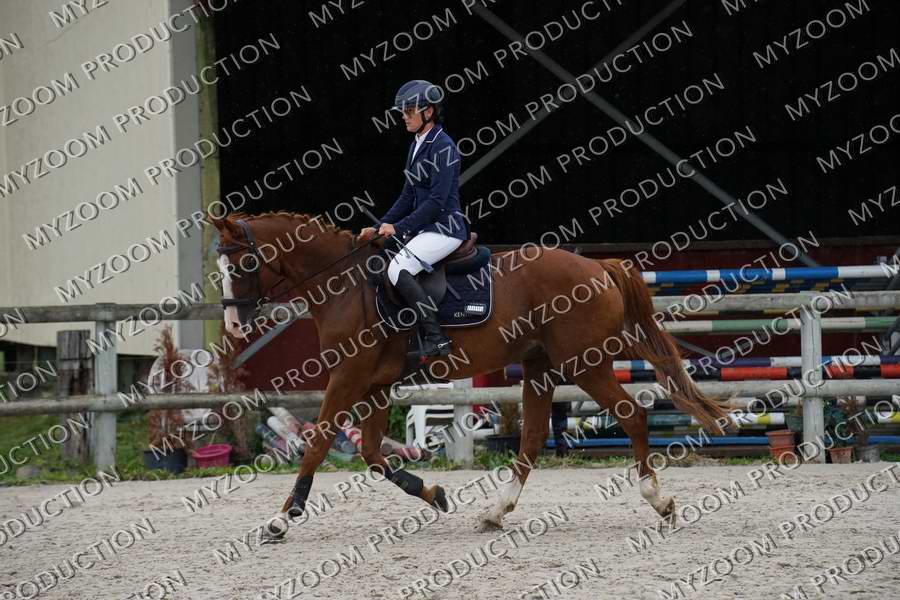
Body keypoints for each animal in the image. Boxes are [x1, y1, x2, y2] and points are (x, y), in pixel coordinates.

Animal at [210, 211, 730, 539]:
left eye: (244, 262)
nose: (234, 326)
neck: (345, 287)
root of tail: (598, 265)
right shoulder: (375, 386)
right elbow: (373, 454)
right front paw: (434, 493)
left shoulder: (348, 378)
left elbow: (319, 443)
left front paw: (283, 518)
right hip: (542, 366)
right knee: (533, 438)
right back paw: (496, 513)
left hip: (585, 362)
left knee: (630, 415)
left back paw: (658, 500)